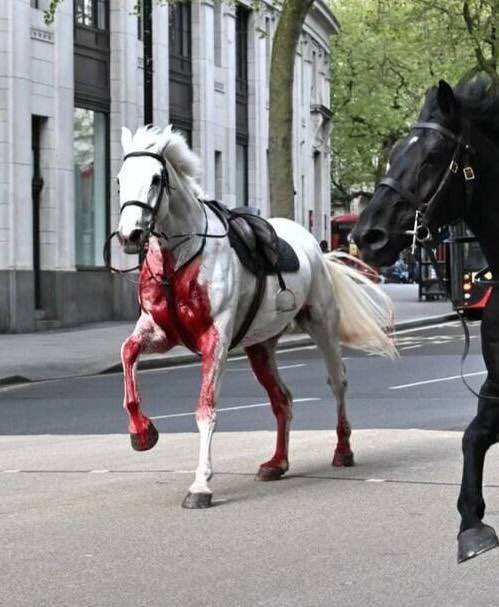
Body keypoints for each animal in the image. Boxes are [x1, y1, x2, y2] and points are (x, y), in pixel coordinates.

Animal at [116, 126, 394, 510]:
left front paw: (201, 485)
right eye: (119, 179)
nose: (129, 236)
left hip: (322, 325)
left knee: (337, 382)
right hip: (260, 346)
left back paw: (343, 450)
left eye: (156, 179)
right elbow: (127, 353)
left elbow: (206, 409)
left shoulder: (215, 338)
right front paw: (142, 432)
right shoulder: (160, 332)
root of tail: (314, 245)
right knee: (283, 399)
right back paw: (277, 463)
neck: (181, 257)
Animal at [354, 77, 499, 564]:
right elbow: (472, 437)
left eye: (434, 156)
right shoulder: (497, 386)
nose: (366, 234)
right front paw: (471, 524)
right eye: (396, 150)